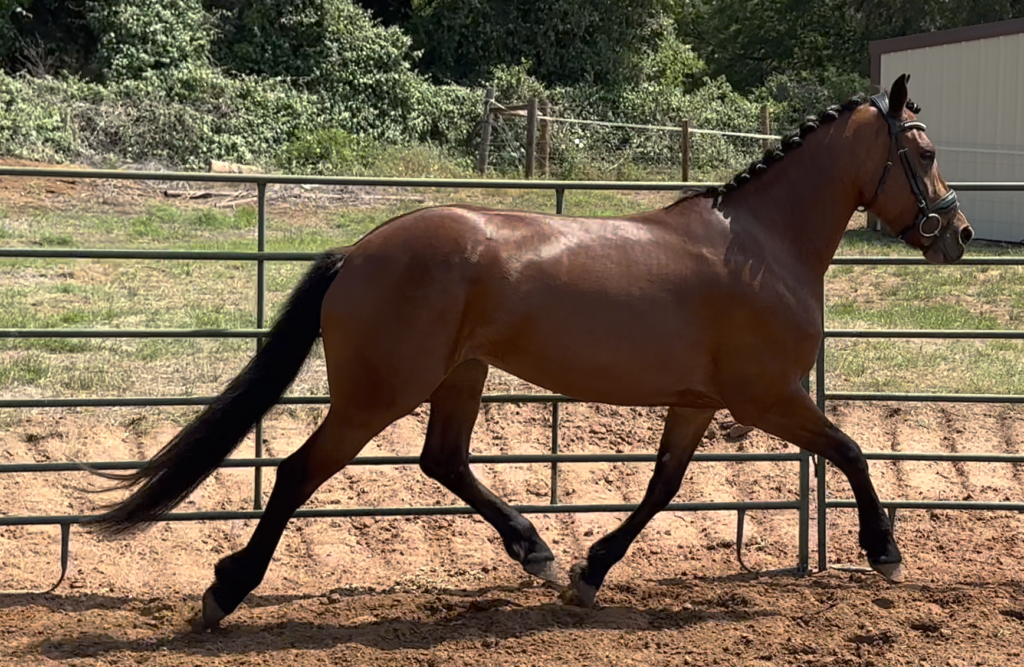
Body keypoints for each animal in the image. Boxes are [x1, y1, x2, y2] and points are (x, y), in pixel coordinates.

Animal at [81, 74, 973, 631]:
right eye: (926, 154)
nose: (957, 235)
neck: (762, 246)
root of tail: (359, 252)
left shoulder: (697, 403)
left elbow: (662, 487)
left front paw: (589, 573)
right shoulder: (769, 396)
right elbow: (851, 450)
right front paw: (885, 552)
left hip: (460, 376)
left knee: (442, 460)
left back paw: (535, 550)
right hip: (377, 393)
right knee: (301, 471)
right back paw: (225, 592)